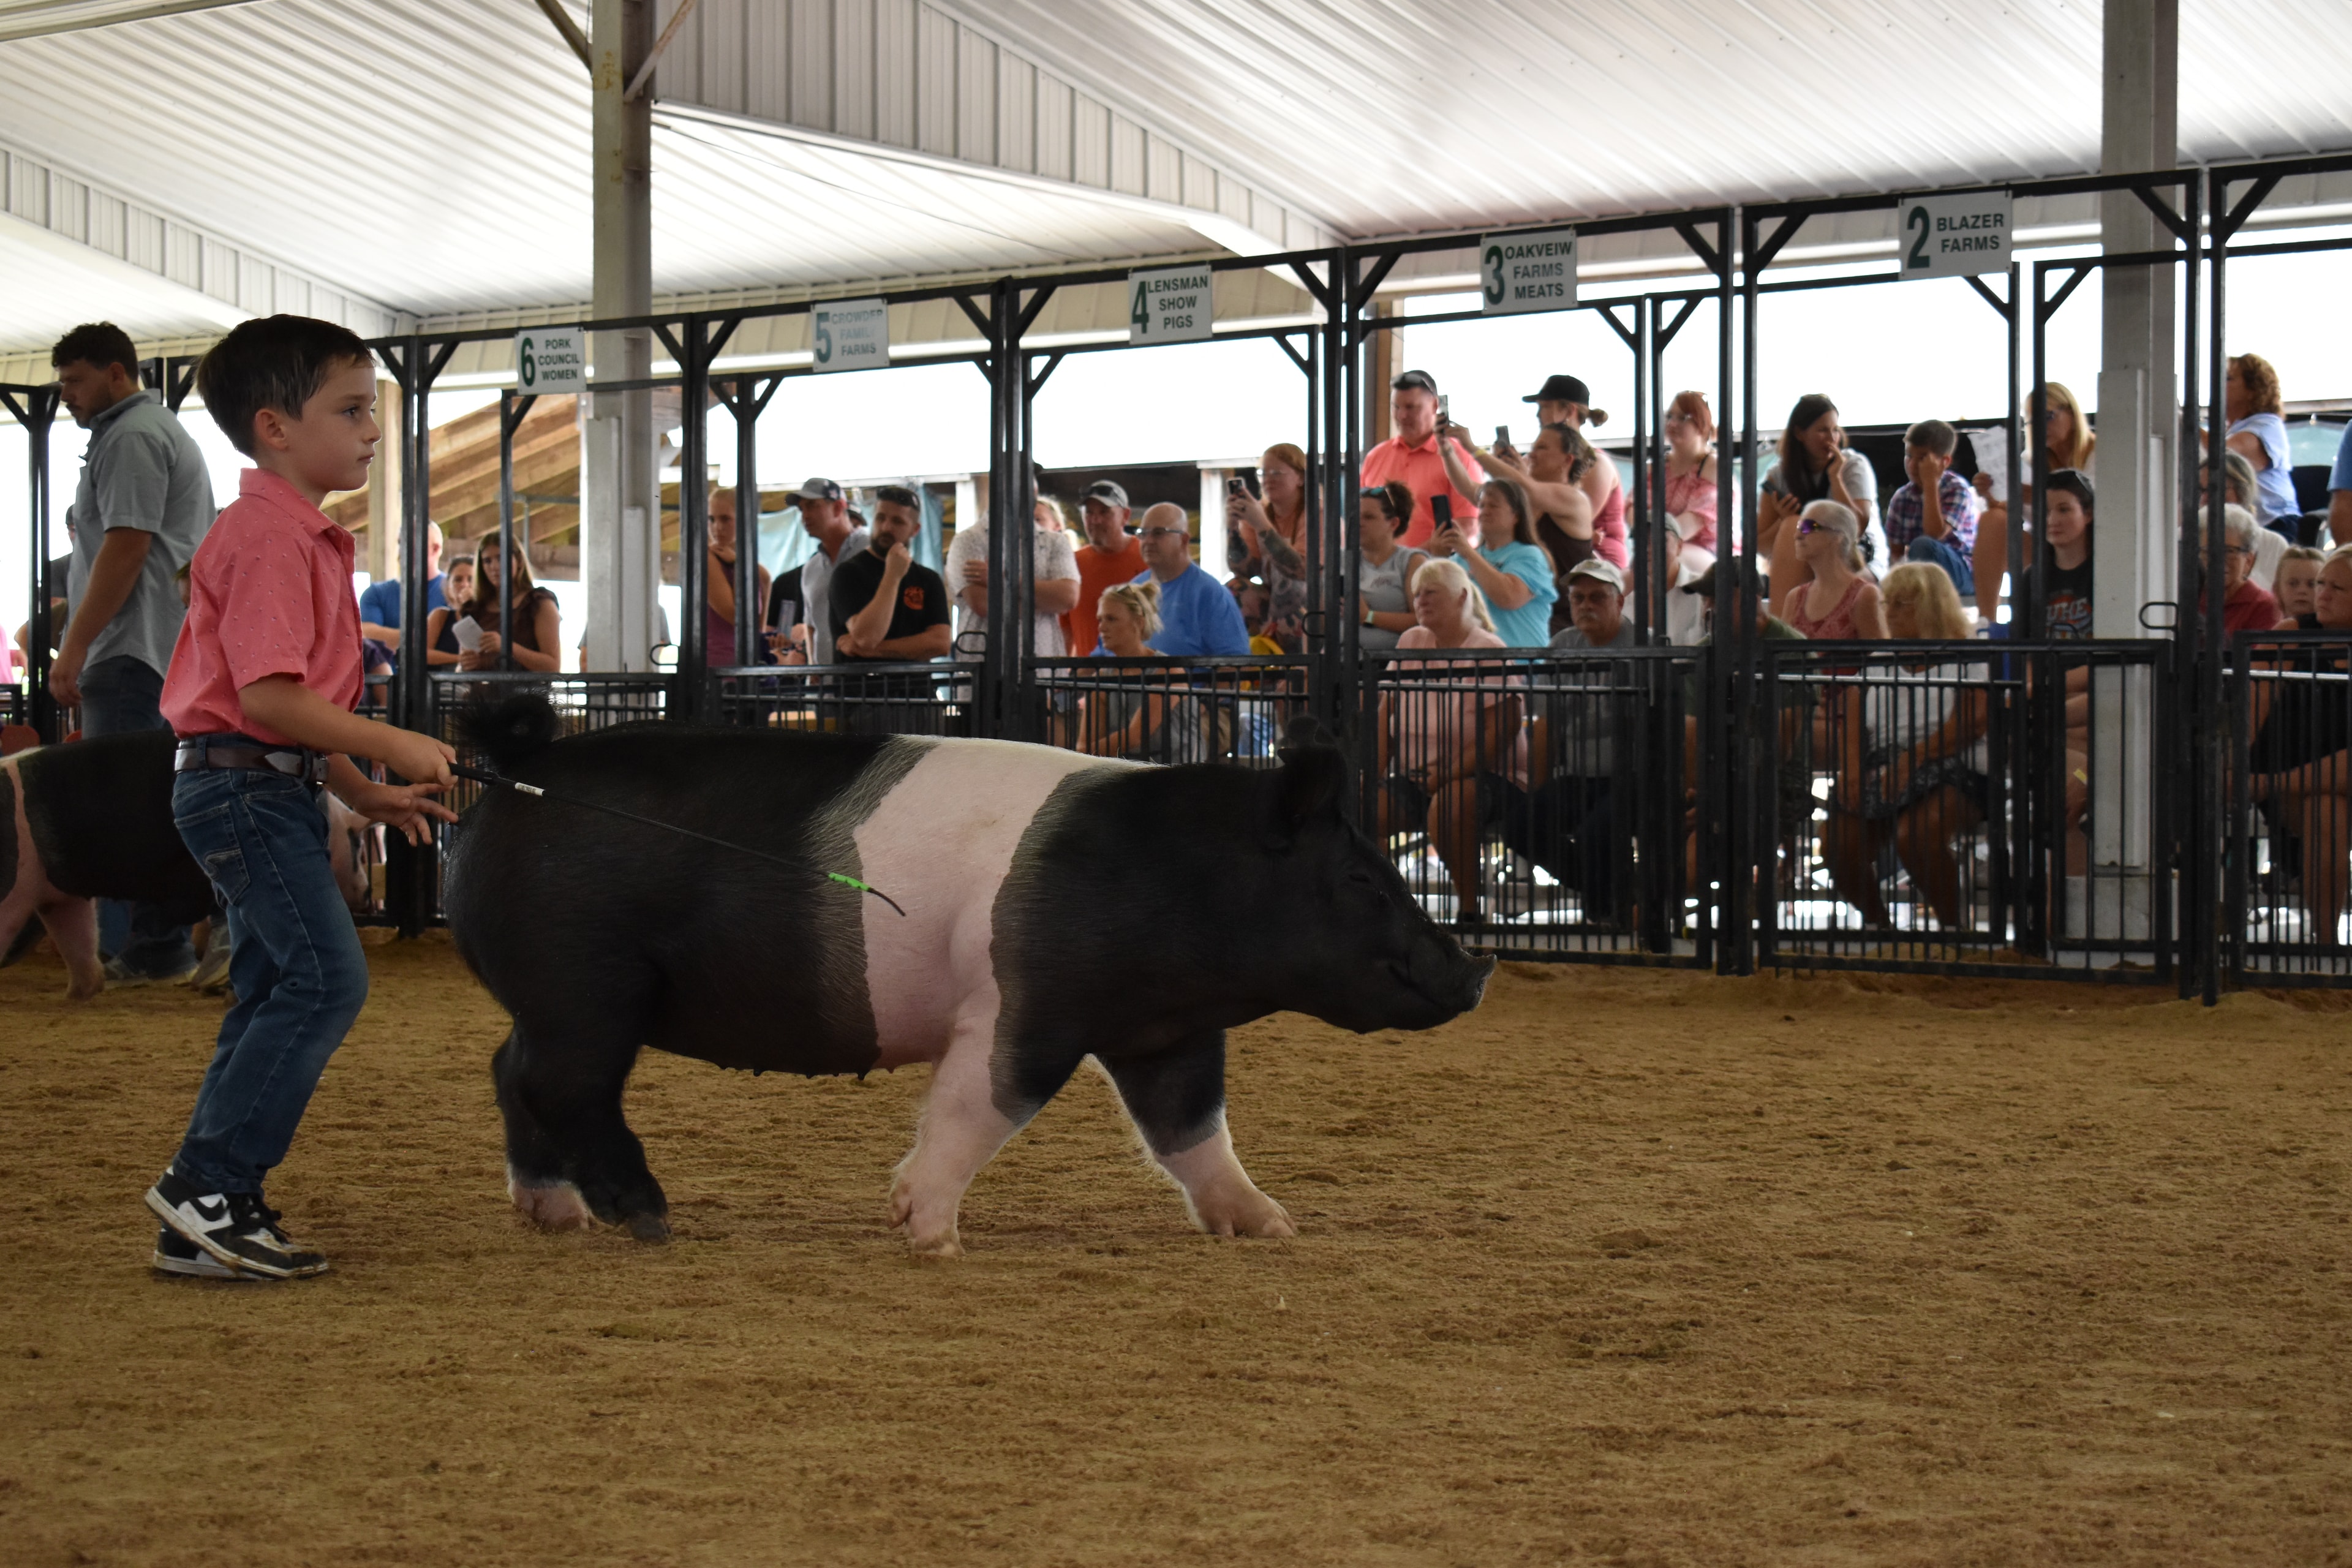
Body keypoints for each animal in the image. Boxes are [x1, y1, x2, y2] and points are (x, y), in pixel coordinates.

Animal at [445, 696, 1493, 1256]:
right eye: (1362, 878)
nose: (1474, 969)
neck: (1176, 877)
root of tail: (520, 762)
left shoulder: (1169, 1033)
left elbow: (1194, 1132)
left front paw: (1272, 1229)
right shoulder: (1026, 1005)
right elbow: (982, 1103)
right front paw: (933, 1237)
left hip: (553, 993)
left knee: (510, 1071)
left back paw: (556, 1217)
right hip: (586, 978)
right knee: (564, 1084)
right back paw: (647, 1218)